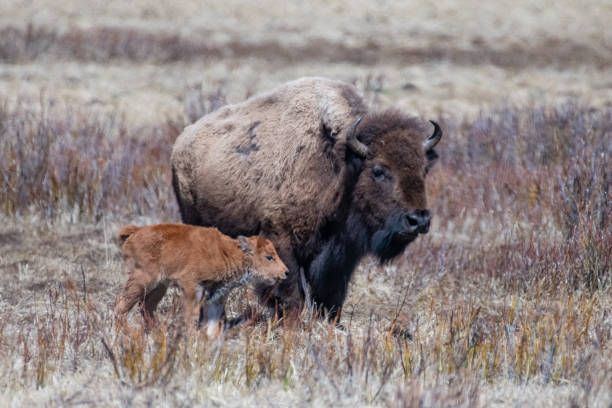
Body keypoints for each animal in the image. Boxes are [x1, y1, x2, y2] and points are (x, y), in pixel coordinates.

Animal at [114, 225, 286, 336]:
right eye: (269, 257)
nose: (286, 272)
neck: (228, 253)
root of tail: (136, 232)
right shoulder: (192, 287)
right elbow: (192, 315)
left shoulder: (217, 296)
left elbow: (213, 321)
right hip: (143, 279)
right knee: (122, 303)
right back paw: (124, 333)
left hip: (160, 286)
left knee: (146, 306)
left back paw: (156, 332)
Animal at [170, 76, 442, 318]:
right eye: (378, 170)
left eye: (424, 169)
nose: (418, 220)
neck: (340, 165)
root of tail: (181, 142)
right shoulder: (282, 242)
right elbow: (291, 295)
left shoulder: (341, 256)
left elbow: (330, 298)